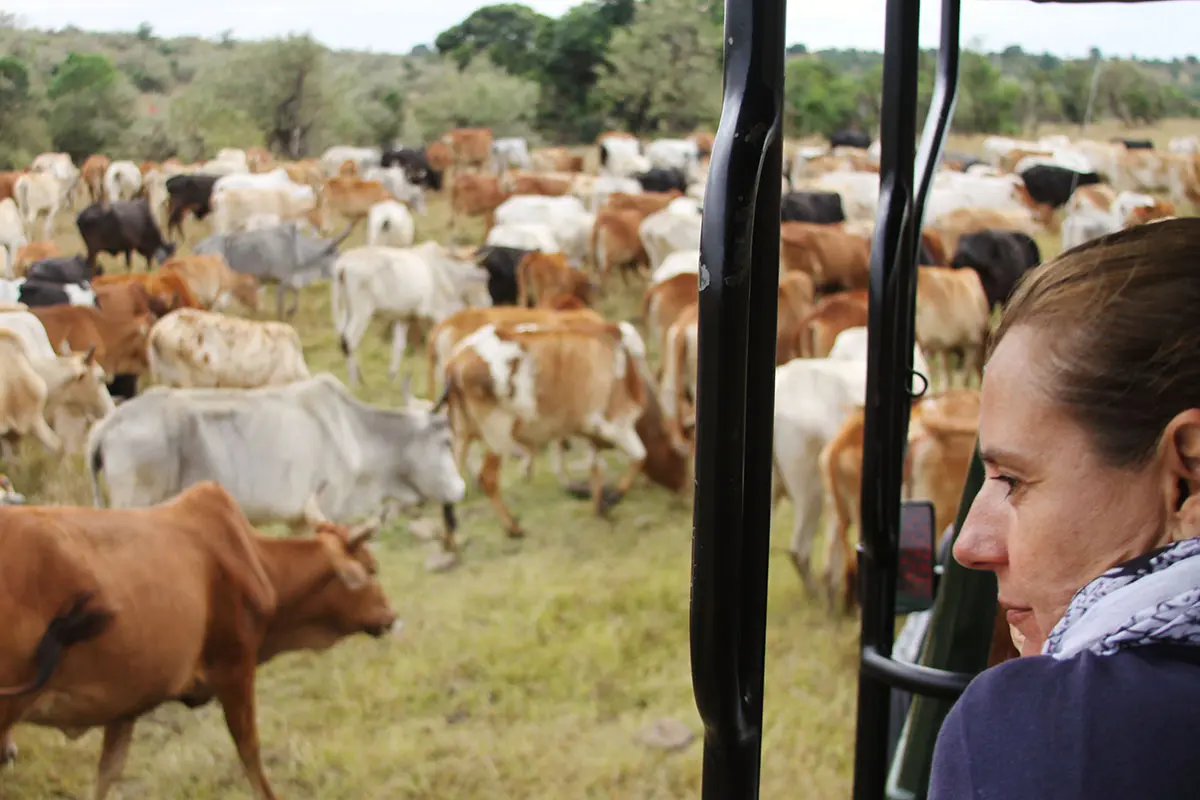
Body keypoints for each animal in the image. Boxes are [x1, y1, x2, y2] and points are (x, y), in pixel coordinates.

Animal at [192, 220, 350, 321]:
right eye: (337, 255)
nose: (343, 275)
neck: (297, 248)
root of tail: (199, 247)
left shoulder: (283, 280)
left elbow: (296, 292)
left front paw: (291, 311)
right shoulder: (282, 281)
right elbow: (282, 303)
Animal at [331, 242, 489, 386]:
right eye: (483, 280)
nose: (486, 302)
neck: (445, 271)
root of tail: (343, 264)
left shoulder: (403, 318)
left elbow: (399, 345)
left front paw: (392, 377)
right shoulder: (437, 315)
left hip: (344, 309)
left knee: (342, 339)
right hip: (362, 311)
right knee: (349, 339)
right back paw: (356, 382)